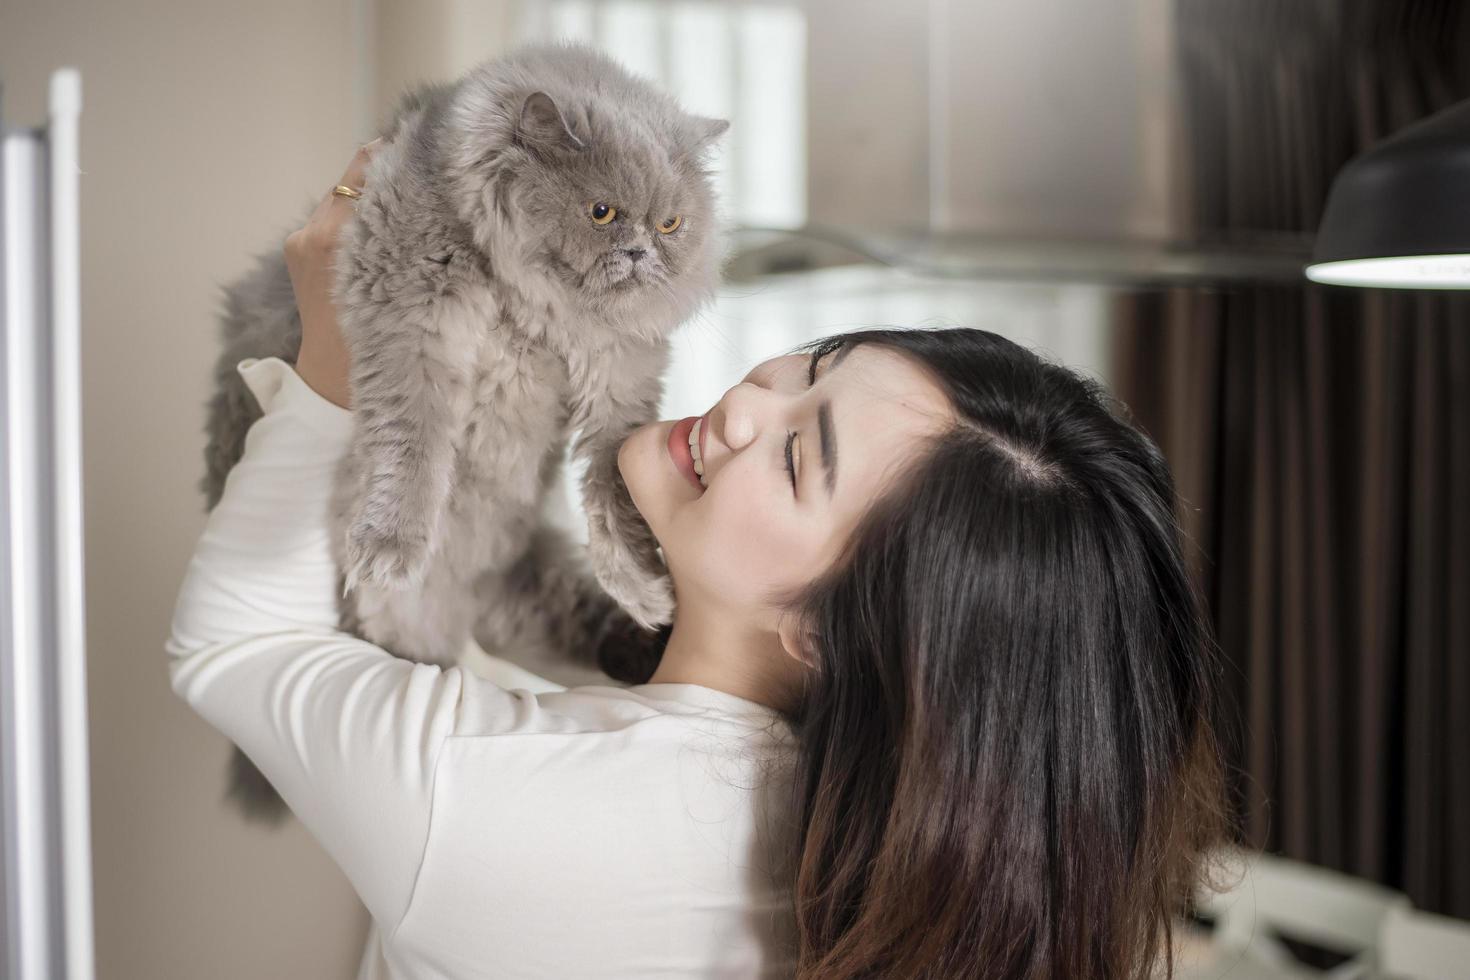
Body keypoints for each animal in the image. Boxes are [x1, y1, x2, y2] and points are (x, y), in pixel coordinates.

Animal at [201, 42, 729, 822]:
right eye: (602, 212)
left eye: (670, 226)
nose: (642, 253)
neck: (536, 305)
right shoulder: (408, 312)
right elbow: (413, 441)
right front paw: (391, 544)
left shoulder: (621, 378)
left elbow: (615, 491)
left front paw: (643, 584)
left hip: (524, 574)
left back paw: (644, 640)